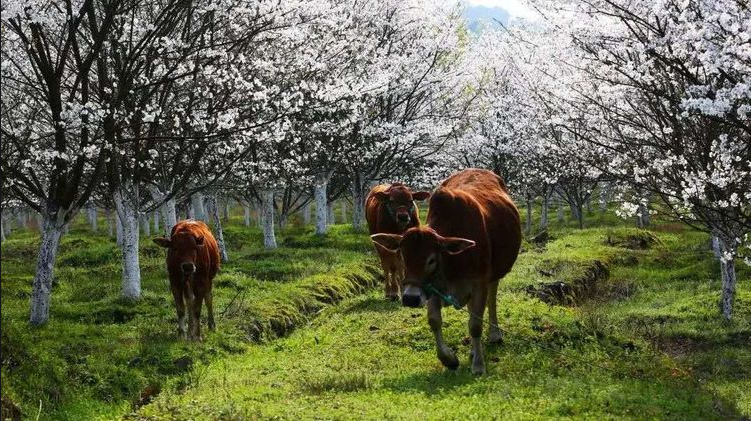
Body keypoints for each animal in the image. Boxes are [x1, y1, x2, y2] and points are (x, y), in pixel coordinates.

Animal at [372, 169, 524, 372]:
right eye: (403, 256)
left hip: (494, 276)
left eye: (431, 260)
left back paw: (494, 334)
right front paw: (449, 359)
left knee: (491, 300)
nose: (410, 298)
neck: (452, 262)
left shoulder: (479, 283)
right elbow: (434, 321)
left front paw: (478, 365)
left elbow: (475, 325)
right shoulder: (431, 288)